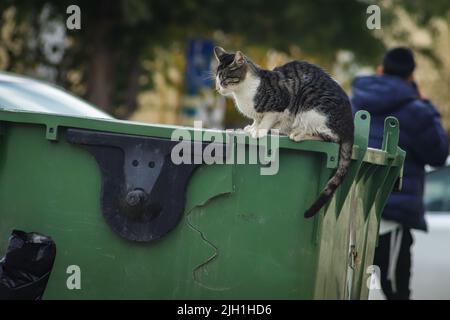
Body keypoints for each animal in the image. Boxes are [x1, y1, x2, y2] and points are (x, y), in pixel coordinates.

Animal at [214, 47, 356, 218]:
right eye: (216, 78)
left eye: (225, 78)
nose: (218, 88)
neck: (243, 91)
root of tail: (350, 127)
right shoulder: (258, 114)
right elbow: (257, 119)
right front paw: (252, 128)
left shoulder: (279, 105)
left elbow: (266, 119)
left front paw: (260, 131)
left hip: (313, 112)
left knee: (330, 137)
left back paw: (297, 133)